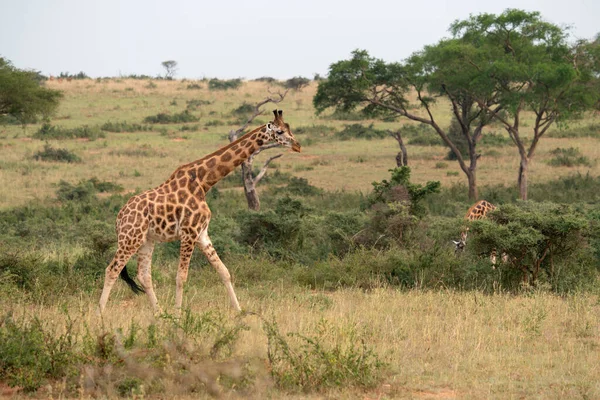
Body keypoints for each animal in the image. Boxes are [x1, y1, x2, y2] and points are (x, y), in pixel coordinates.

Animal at [100, 110, 302, 316]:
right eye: (279, 131)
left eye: (289, 128)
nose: (298, 145)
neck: (204, 182)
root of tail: (119, 218)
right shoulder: (189, 233)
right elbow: (181, 276)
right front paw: (178, 315)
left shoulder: (202, 233)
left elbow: (224, 271)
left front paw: (239, 311)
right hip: (130, 238)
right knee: (112, 270)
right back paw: (100, 314)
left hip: (146, 240)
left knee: (143, 275)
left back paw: (159, 313)